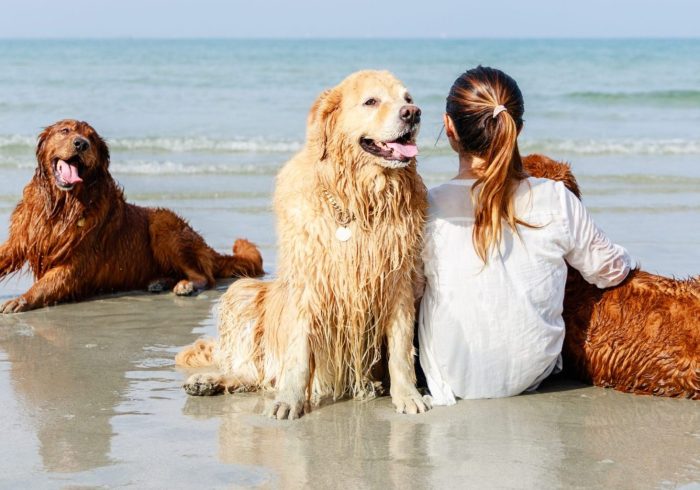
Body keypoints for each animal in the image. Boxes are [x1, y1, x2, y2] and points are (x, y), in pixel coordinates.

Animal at [0, 120, 262, 316]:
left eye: (91, 138)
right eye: (65, 130)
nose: (81, 144)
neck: (62, 206)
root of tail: (205, 245)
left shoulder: (76, 263)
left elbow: (45, 285)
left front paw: (21, 300)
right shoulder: (20, 239)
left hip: (162, 224)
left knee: (206, 277)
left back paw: (185, 284)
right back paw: (160, 281)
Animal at [176, 71, 426, 420]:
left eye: (407, 98)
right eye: (371, 101)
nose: (413, 113)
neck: (357, 201)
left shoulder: (398, 280)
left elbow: (402, 349)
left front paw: (407, 395)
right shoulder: (309, 281)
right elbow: (298, 351)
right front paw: (289, 401)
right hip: (243, 291)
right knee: (249, 370)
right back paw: (208, 381)